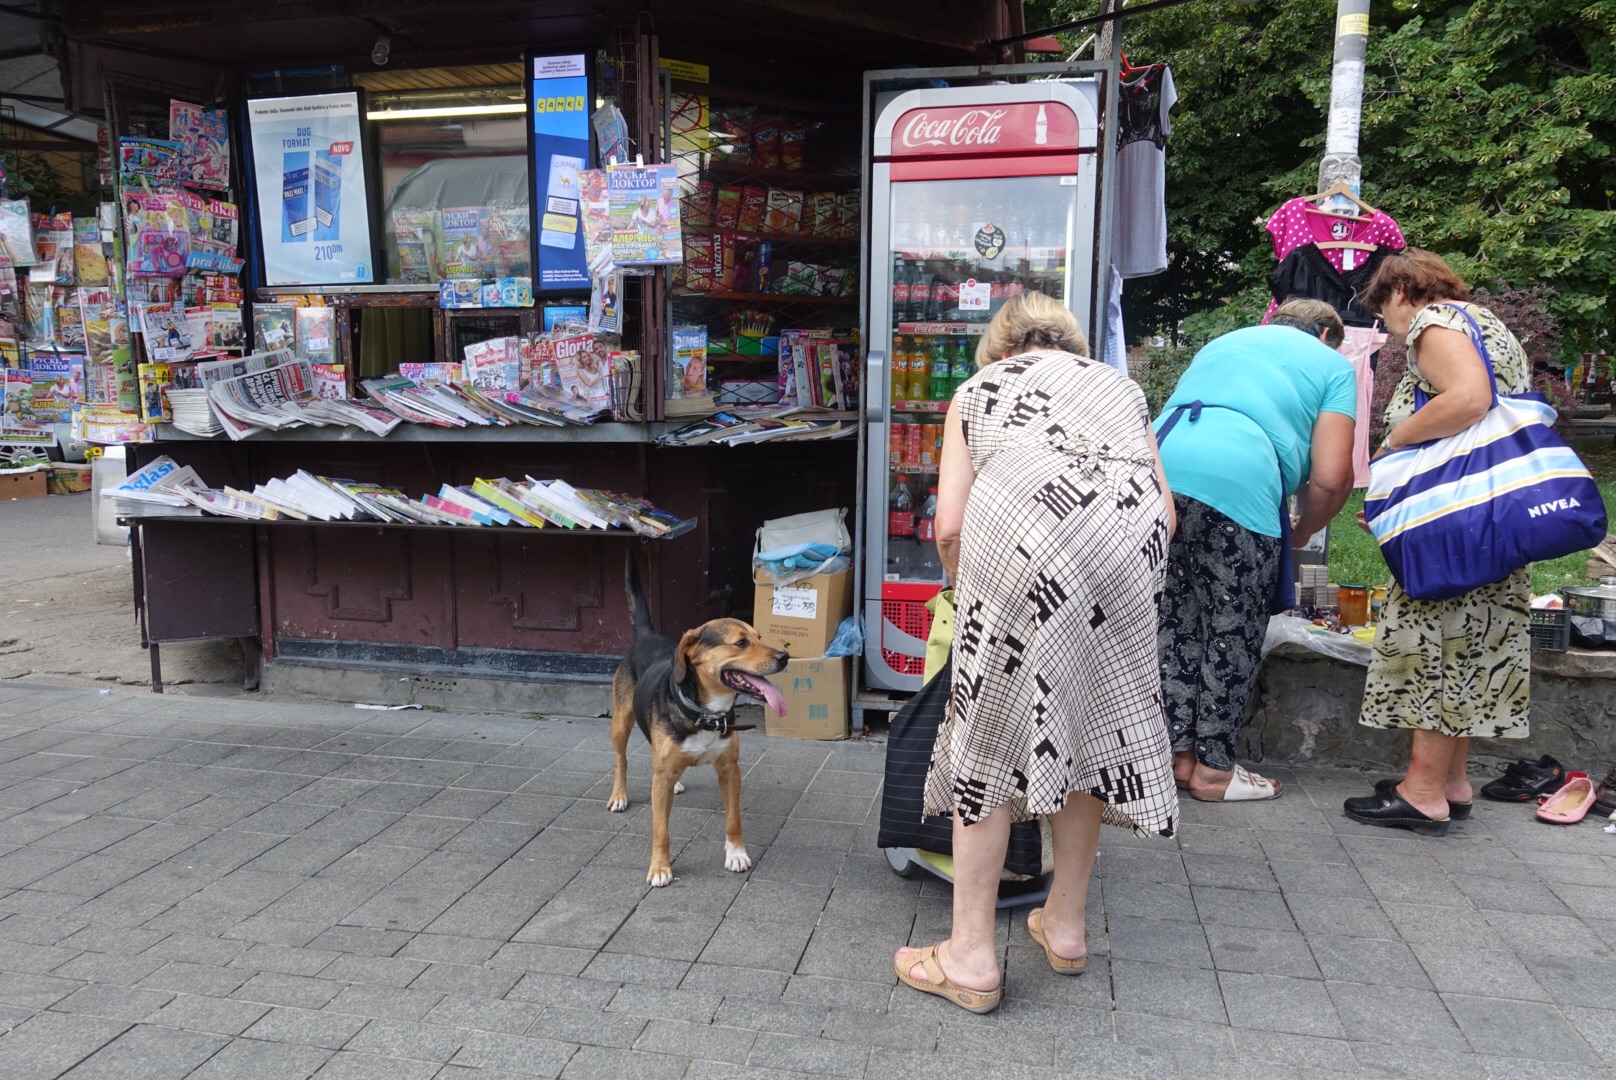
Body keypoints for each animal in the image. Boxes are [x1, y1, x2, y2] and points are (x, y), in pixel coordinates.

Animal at [607, 556, 785, 885]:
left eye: (759, 638)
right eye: (741, 643)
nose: (784, 657)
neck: (706, 715)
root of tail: (647, 636)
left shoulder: (730, 770)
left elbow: (733, 820)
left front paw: (736, 854)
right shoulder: (662, 777)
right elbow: (660, 830)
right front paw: (660, 868)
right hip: (621, 723)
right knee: (620, 759)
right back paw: (619, 795)